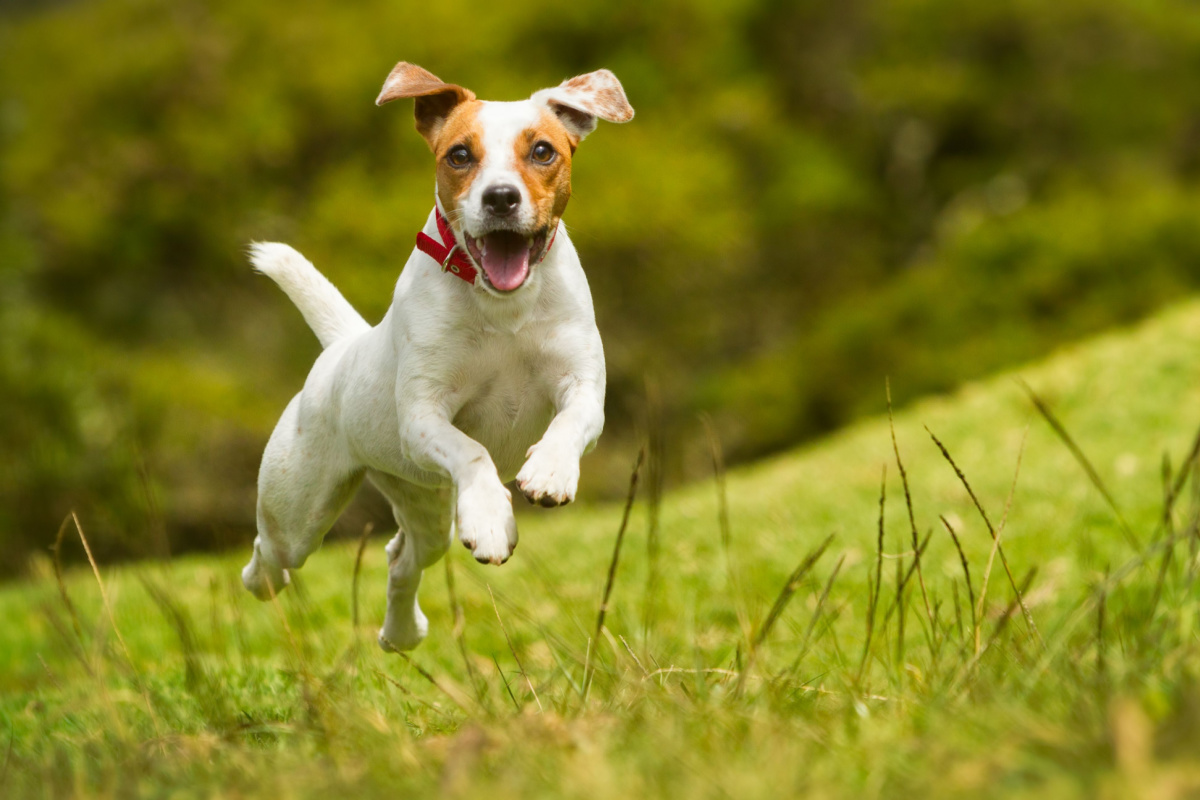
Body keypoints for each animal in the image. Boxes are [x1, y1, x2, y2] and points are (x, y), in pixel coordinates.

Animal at [237, 61, 633, 652]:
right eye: (459, 155)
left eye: (542, 150)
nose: (500, 198)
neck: (503, 307)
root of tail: (342, 346)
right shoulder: (424, 417)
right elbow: (473, 452)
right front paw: (491, 517)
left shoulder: (582, 385)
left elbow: (570, 422)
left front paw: (549, 472)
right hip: (299, 509)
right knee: (272, 555)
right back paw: (262, 581)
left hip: (423, 504)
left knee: (401, 557)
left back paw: (401, 633)